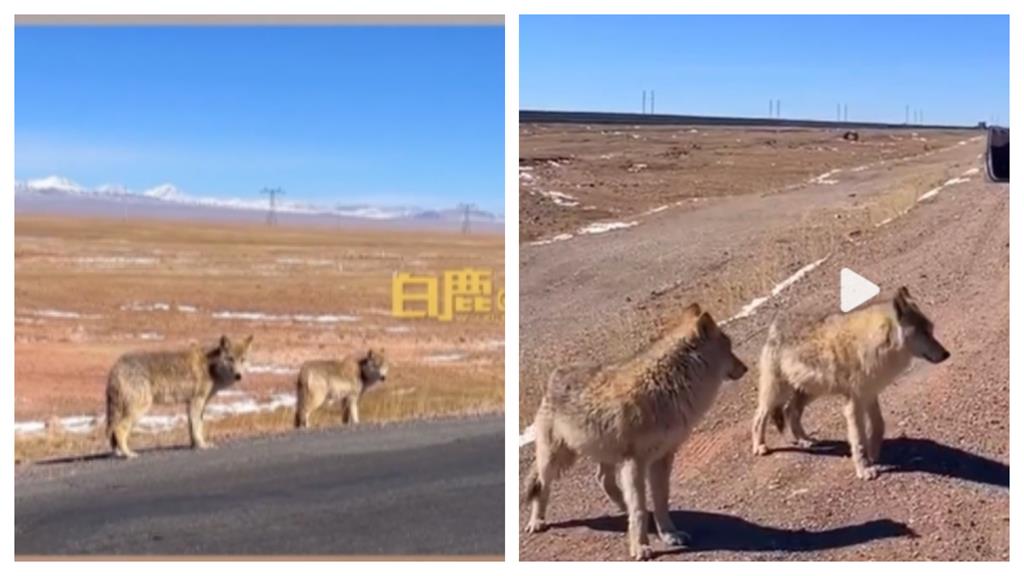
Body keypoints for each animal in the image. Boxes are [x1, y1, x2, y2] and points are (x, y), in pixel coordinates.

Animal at [105, 332, 253, 457]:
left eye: (243, 360)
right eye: (230, 359)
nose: (238, 375)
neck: (211, 367)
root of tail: (116, 367)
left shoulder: (193, 403)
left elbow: (193, 427)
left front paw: (194, 446)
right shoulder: (197, 401)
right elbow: (197, 427)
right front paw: (202, 445)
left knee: (114, 434)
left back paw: (119, 452)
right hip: (140, 409)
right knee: (118, 429)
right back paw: (128, 454)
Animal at [524, 303, 749, 557]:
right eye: (728, 349)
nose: (746, 368)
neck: (668, 386)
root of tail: (556, 373)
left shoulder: (662, 458)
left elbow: (660, 501)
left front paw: (669, 534)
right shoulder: (636, 462)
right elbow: (639, 507)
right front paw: (641, 547)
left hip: (604, 457)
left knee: (604, 480)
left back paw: (624, 509)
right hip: (556, 460)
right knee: (542, 487)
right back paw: (536, 522)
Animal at [753, 284, 950, 477]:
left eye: (931, 330)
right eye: (925, 333)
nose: (946, 354)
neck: (876, 345)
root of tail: (775, 324)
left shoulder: (870, 394)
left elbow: (879, 425)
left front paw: (873, 453)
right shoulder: (854, 403)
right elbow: (858, 439)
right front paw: (864, 469)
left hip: (811, 392)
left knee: (790, 410)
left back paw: (804, 440)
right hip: (778, 393)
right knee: (759, 417)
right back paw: (760, 446)